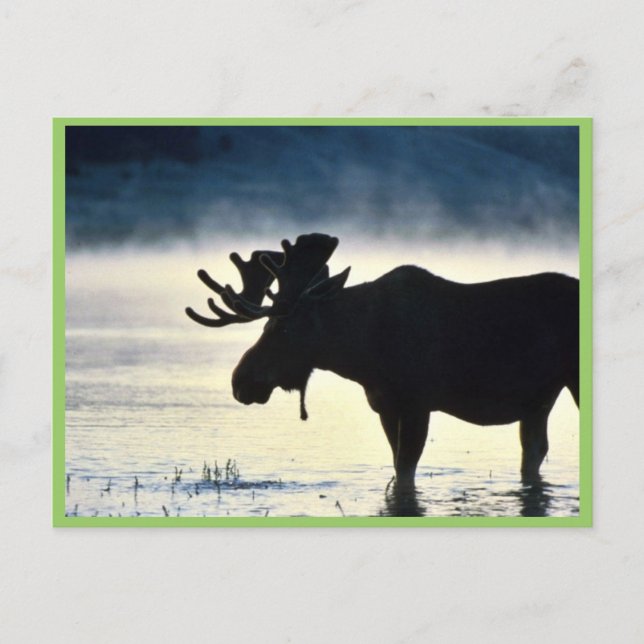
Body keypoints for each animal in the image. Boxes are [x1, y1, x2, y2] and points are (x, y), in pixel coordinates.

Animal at [186, 233, 579, 489]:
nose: (240, 381)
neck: (362, 354)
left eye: (281, 328)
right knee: (534, 451)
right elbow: (397, 466)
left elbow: (406, 471)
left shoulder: (418, 402)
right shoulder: (385, 406)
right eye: (266, 325)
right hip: (538, 400)